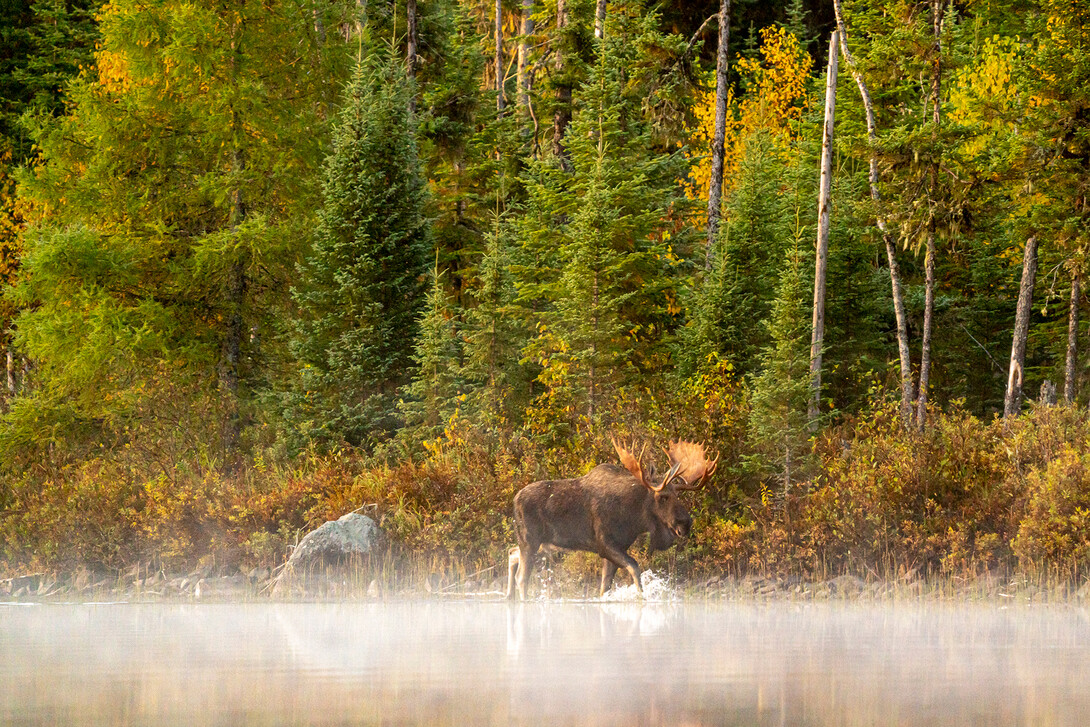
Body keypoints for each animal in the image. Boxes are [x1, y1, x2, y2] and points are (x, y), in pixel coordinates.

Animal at [507, 438, 719, 601]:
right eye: (663, 497)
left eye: (678, 495)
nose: (686, 523)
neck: (635, 518)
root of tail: (514, 501)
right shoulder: (605, 544)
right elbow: (634, 568)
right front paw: (641, 597)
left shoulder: (617, 547)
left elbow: (605, 588)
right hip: (530, 540)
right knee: (522, 577)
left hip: (542, 544)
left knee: (511, 553)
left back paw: (509, 597)